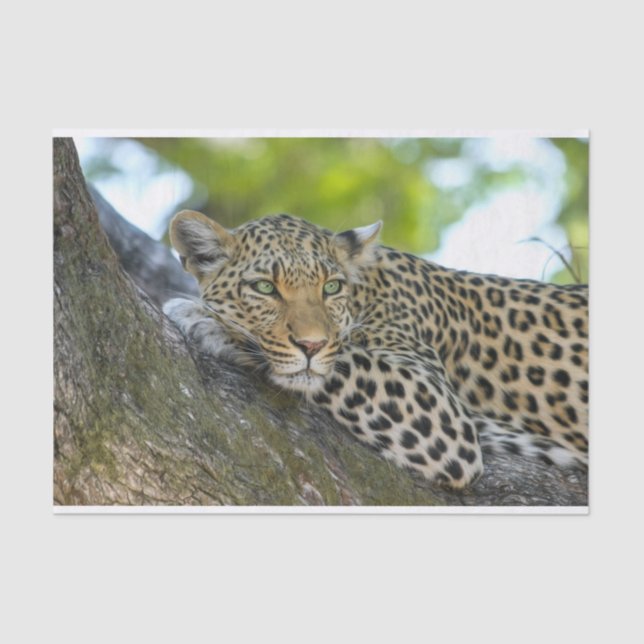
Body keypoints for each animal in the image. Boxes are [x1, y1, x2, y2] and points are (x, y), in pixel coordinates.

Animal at [163, 210, 588, 489]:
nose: (311, 344)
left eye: (331, 287)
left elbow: (340, 361)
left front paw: (204, 319)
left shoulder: (440, 411)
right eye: (265, 287)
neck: (367, 292)